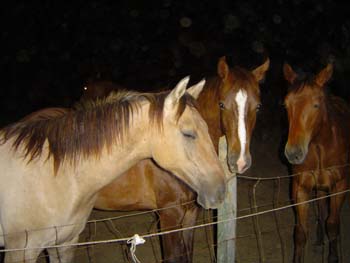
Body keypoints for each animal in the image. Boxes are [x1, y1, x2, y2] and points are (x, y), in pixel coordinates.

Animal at [82, 56, 270, 262]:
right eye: (222, 104)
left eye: (258, 107)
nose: (240, 161)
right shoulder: (169, 215)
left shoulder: (190, 214)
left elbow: (187, 253)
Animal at [284, 63, 350, 262]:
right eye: (286, 104)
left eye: (316, 105)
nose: (293, 153)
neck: (320, 146)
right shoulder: (300, 188)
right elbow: (300, 233)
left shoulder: (339, 186)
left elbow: (333, 224)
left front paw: (333, 257)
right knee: (320, 206)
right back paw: (320, 238)